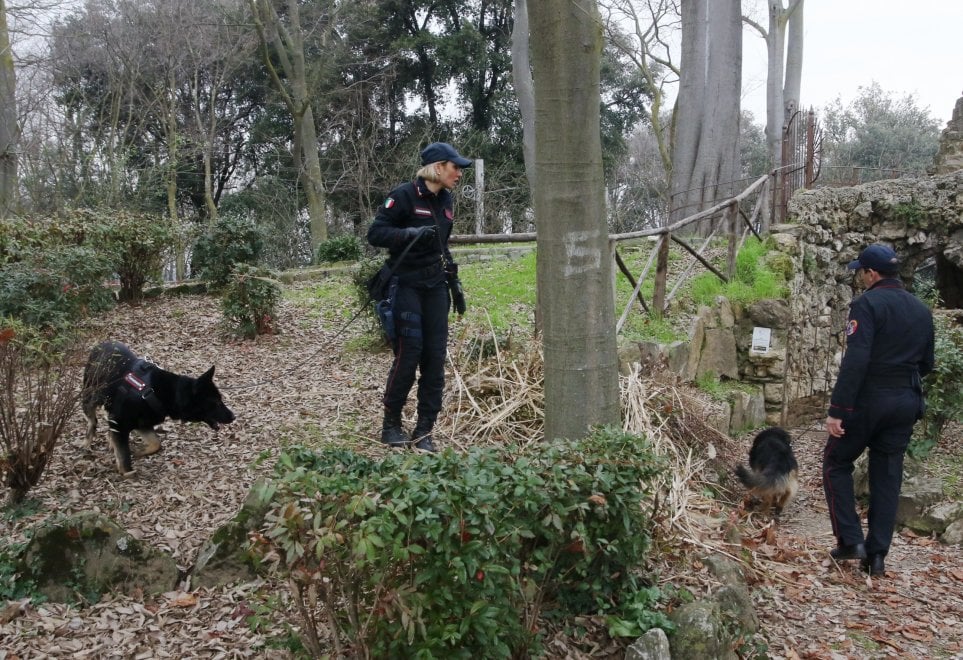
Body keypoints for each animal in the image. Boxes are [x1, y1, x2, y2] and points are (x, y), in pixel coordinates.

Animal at [81, 342, 235, 476]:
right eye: (216, 402)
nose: (234, 416)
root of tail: (101, 344)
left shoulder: (142, 425)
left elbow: (156, 443)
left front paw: (139, 451)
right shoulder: (120, 423)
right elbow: (124, 455)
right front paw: (127, 472)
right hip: (90, 397)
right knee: (92, 421)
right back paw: (86, 444)